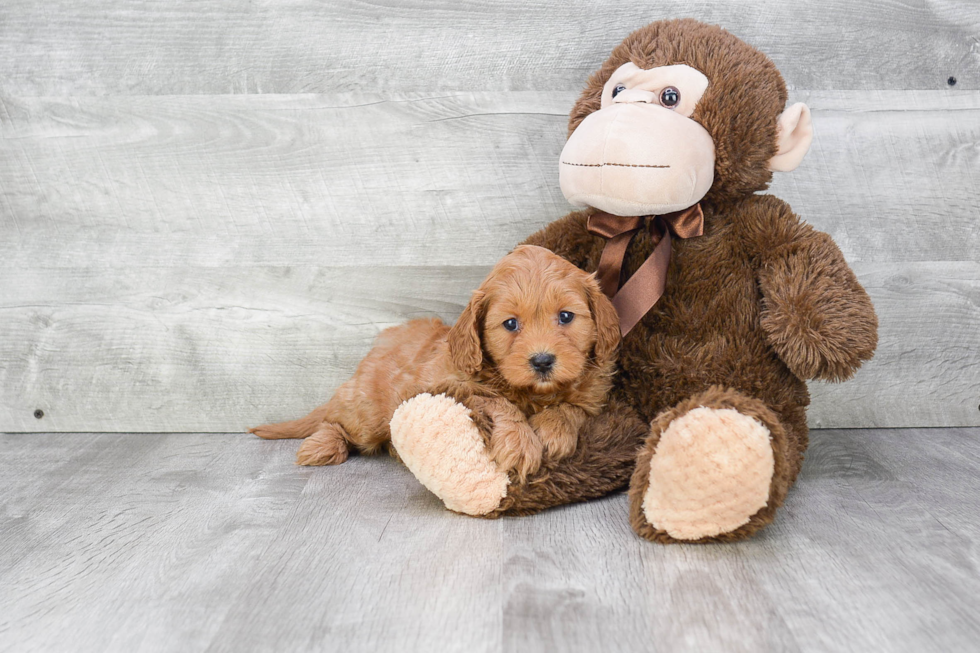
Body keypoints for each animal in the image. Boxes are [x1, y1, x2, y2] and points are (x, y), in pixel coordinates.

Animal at [251, 244, 620, 478]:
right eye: (511, 324)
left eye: (566, 316)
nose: (542, 361)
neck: (533, 393)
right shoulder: (440, 385)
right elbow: (494, 400)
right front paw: (519, 442)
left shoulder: (593, 394)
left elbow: (572, 408)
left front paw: (552, 430)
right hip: (366, 415)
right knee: (334, 422)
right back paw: (323, 445)